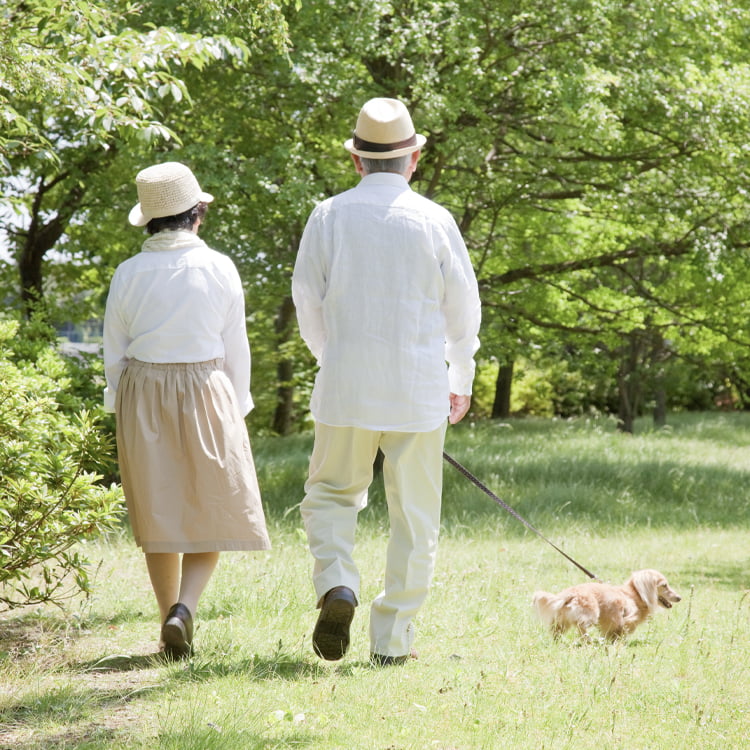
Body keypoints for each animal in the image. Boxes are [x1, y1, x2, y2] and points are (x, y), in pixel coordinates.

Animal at [532, 568, 684, 640]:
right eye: (664, 585)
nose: (679, 597)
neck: (635, 596)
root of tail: (569, 594)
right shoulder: (623, 620)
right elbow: (621, 631)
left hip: (562, 621)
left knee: (556, 631)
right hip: (591, 613)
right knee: (581, 627)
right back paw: (588, 640)